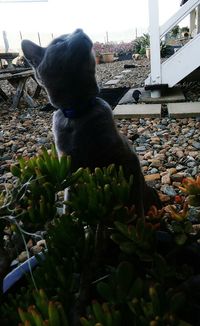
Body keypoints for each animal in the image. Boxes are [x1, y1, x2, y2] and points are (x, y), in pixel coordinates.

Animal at [21, 28, 161, 216]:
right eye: (58, 42)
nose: (79, 29)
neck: (79, 111)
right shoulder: (70, 169)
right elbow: (68, 202)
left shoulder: (128, 160)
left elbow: (137, 206)